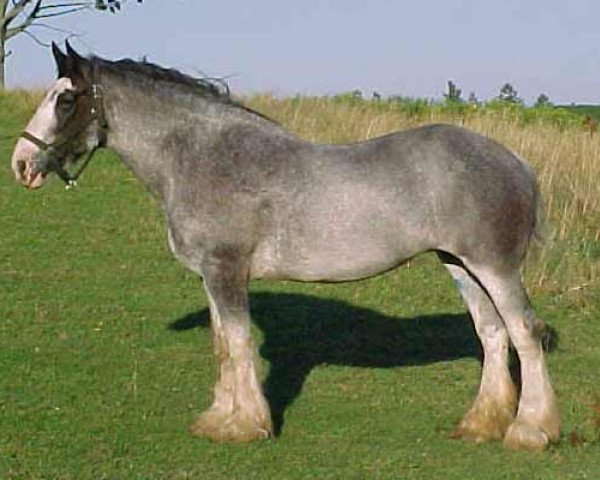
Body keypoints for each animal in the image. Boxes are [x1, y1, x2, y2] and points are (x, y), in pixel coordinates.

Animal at [11, 43, 560, 452]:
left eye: (65, 100)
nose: (21, 163)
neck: (202, 156)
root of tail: (516, 162)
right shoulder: (211, 276)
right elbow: (222, 346)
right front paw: (218, 418)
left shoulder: (226, 270)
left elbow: (238, 343)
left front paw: (247, 425)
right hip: (461, 266)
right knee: (492, 335)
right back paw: (481, 424)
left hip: (494, 268)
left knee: (524, 333)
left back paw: (531, 430)